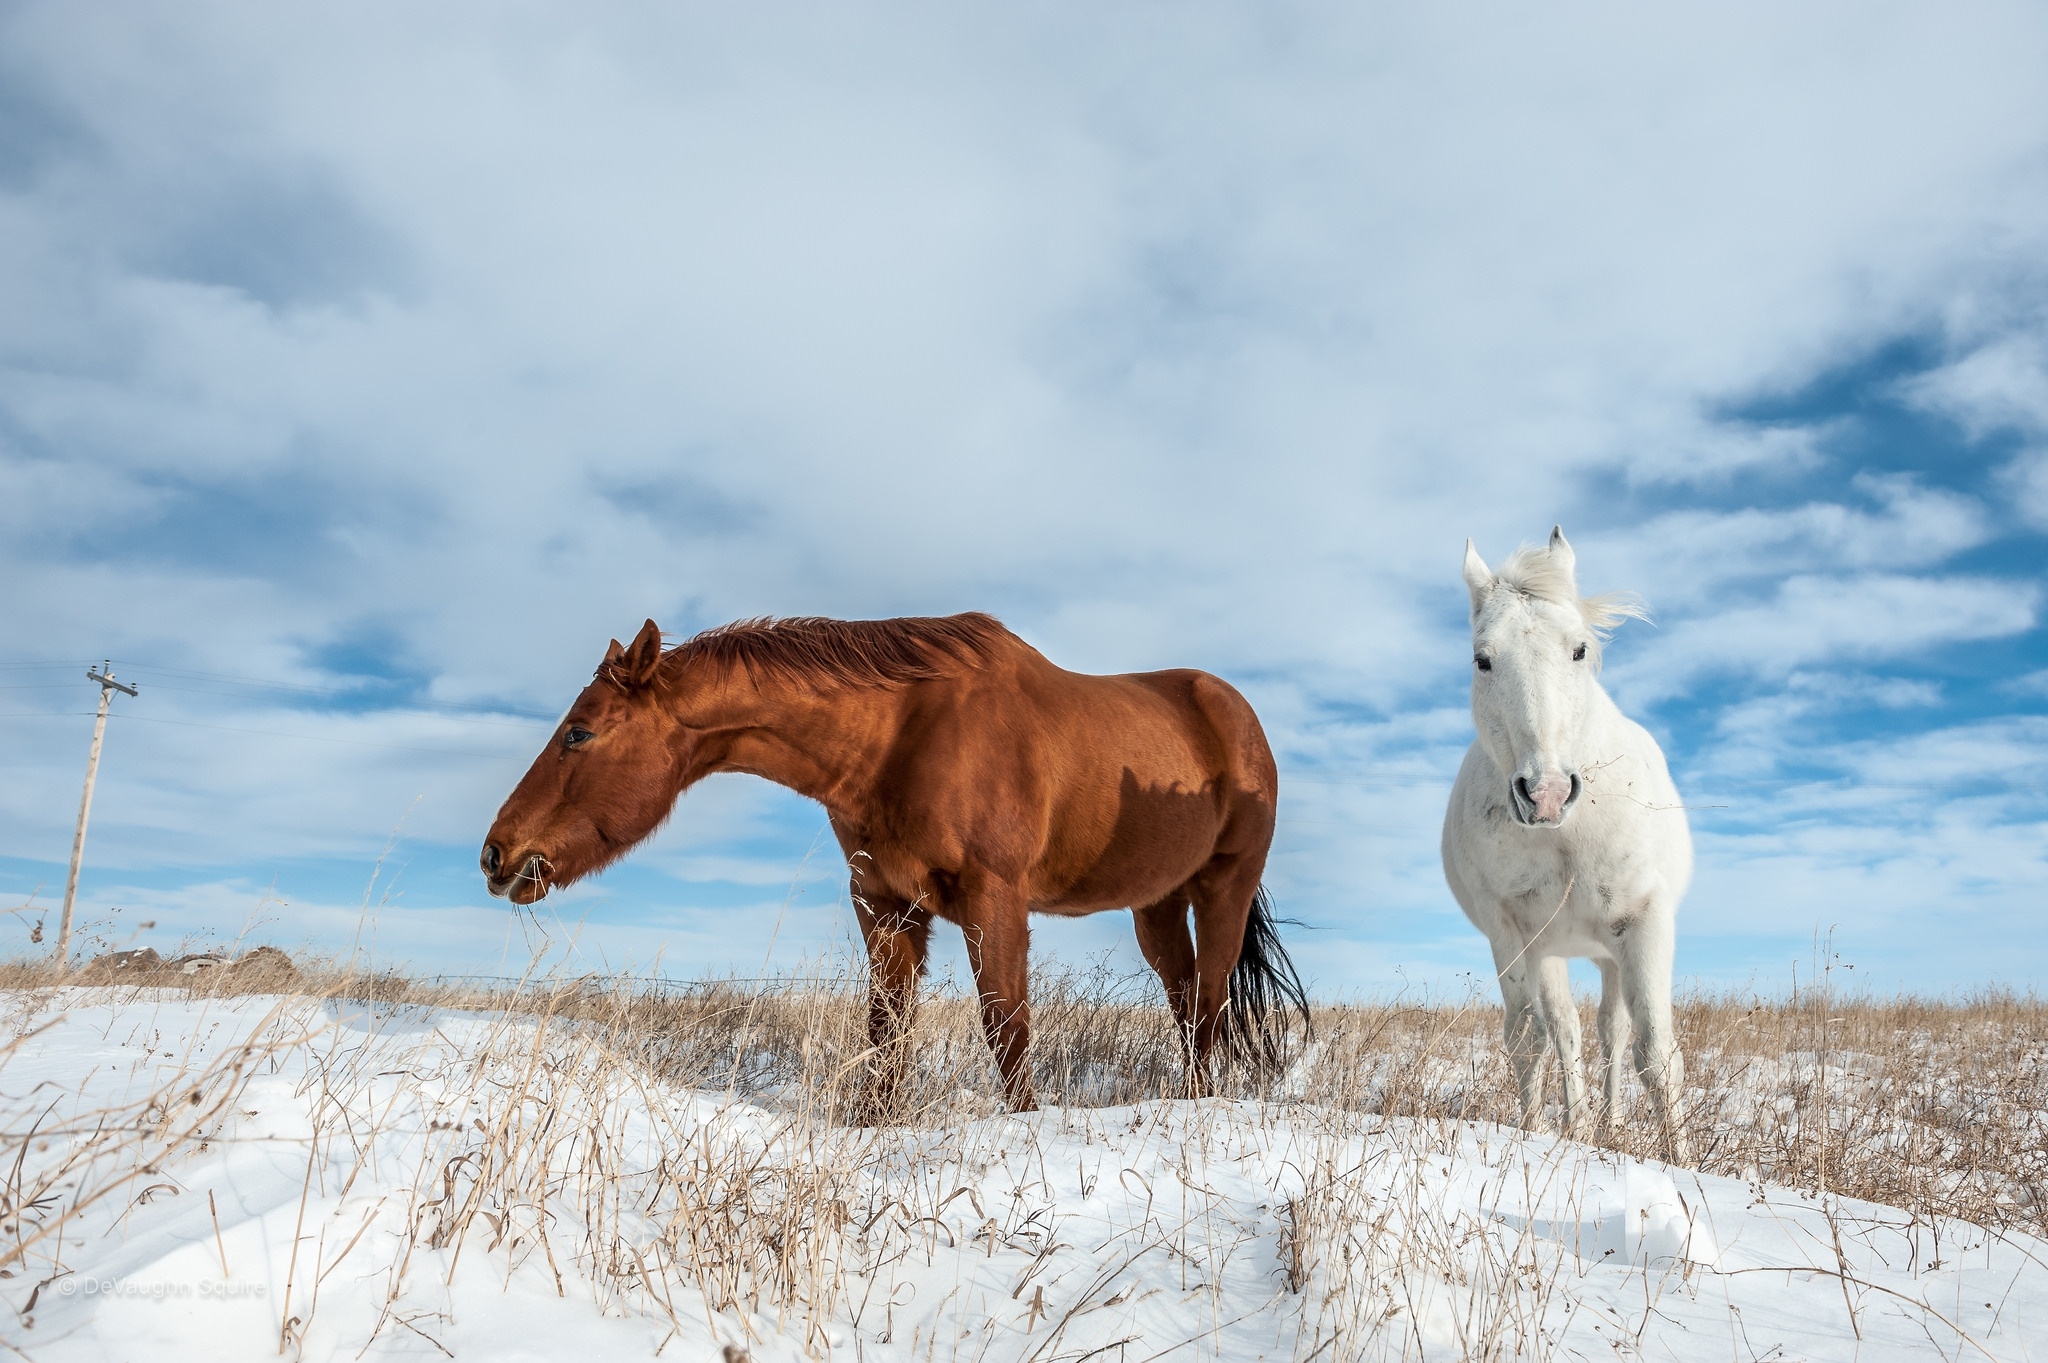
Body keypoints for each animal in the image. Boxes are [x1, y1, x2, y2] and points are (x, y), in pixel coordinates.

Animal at [479, 609, 1302, 1113]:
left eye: (579, 732)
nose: (496, 854)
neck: (901, 736)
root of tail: (1235, 714)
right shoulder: (883, 905)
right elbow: (886, 1034)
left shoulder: (995, 902)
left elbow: (1006, 1029)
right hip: (1156, 903)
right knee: (1188, 1002)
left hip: (1223, 889)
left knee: (1211, 1005)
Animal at [1441, 523, 1695, 1162]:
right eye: (1483, 660)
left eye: (1578, 650)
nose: (1547, 793)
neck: (1570, 833)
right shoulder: (1513, 934)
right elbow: (1531, 1041)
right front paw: (1534, 1135)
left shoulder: (1645, 921)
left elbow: (1656, 1054)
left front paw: (1684, 1166)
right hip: (1552, 949)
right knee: (1568, 1032)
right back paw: (1581, 1126)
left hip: (1608, 952)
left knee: (1614, 1031)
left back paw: (1608, 1120)